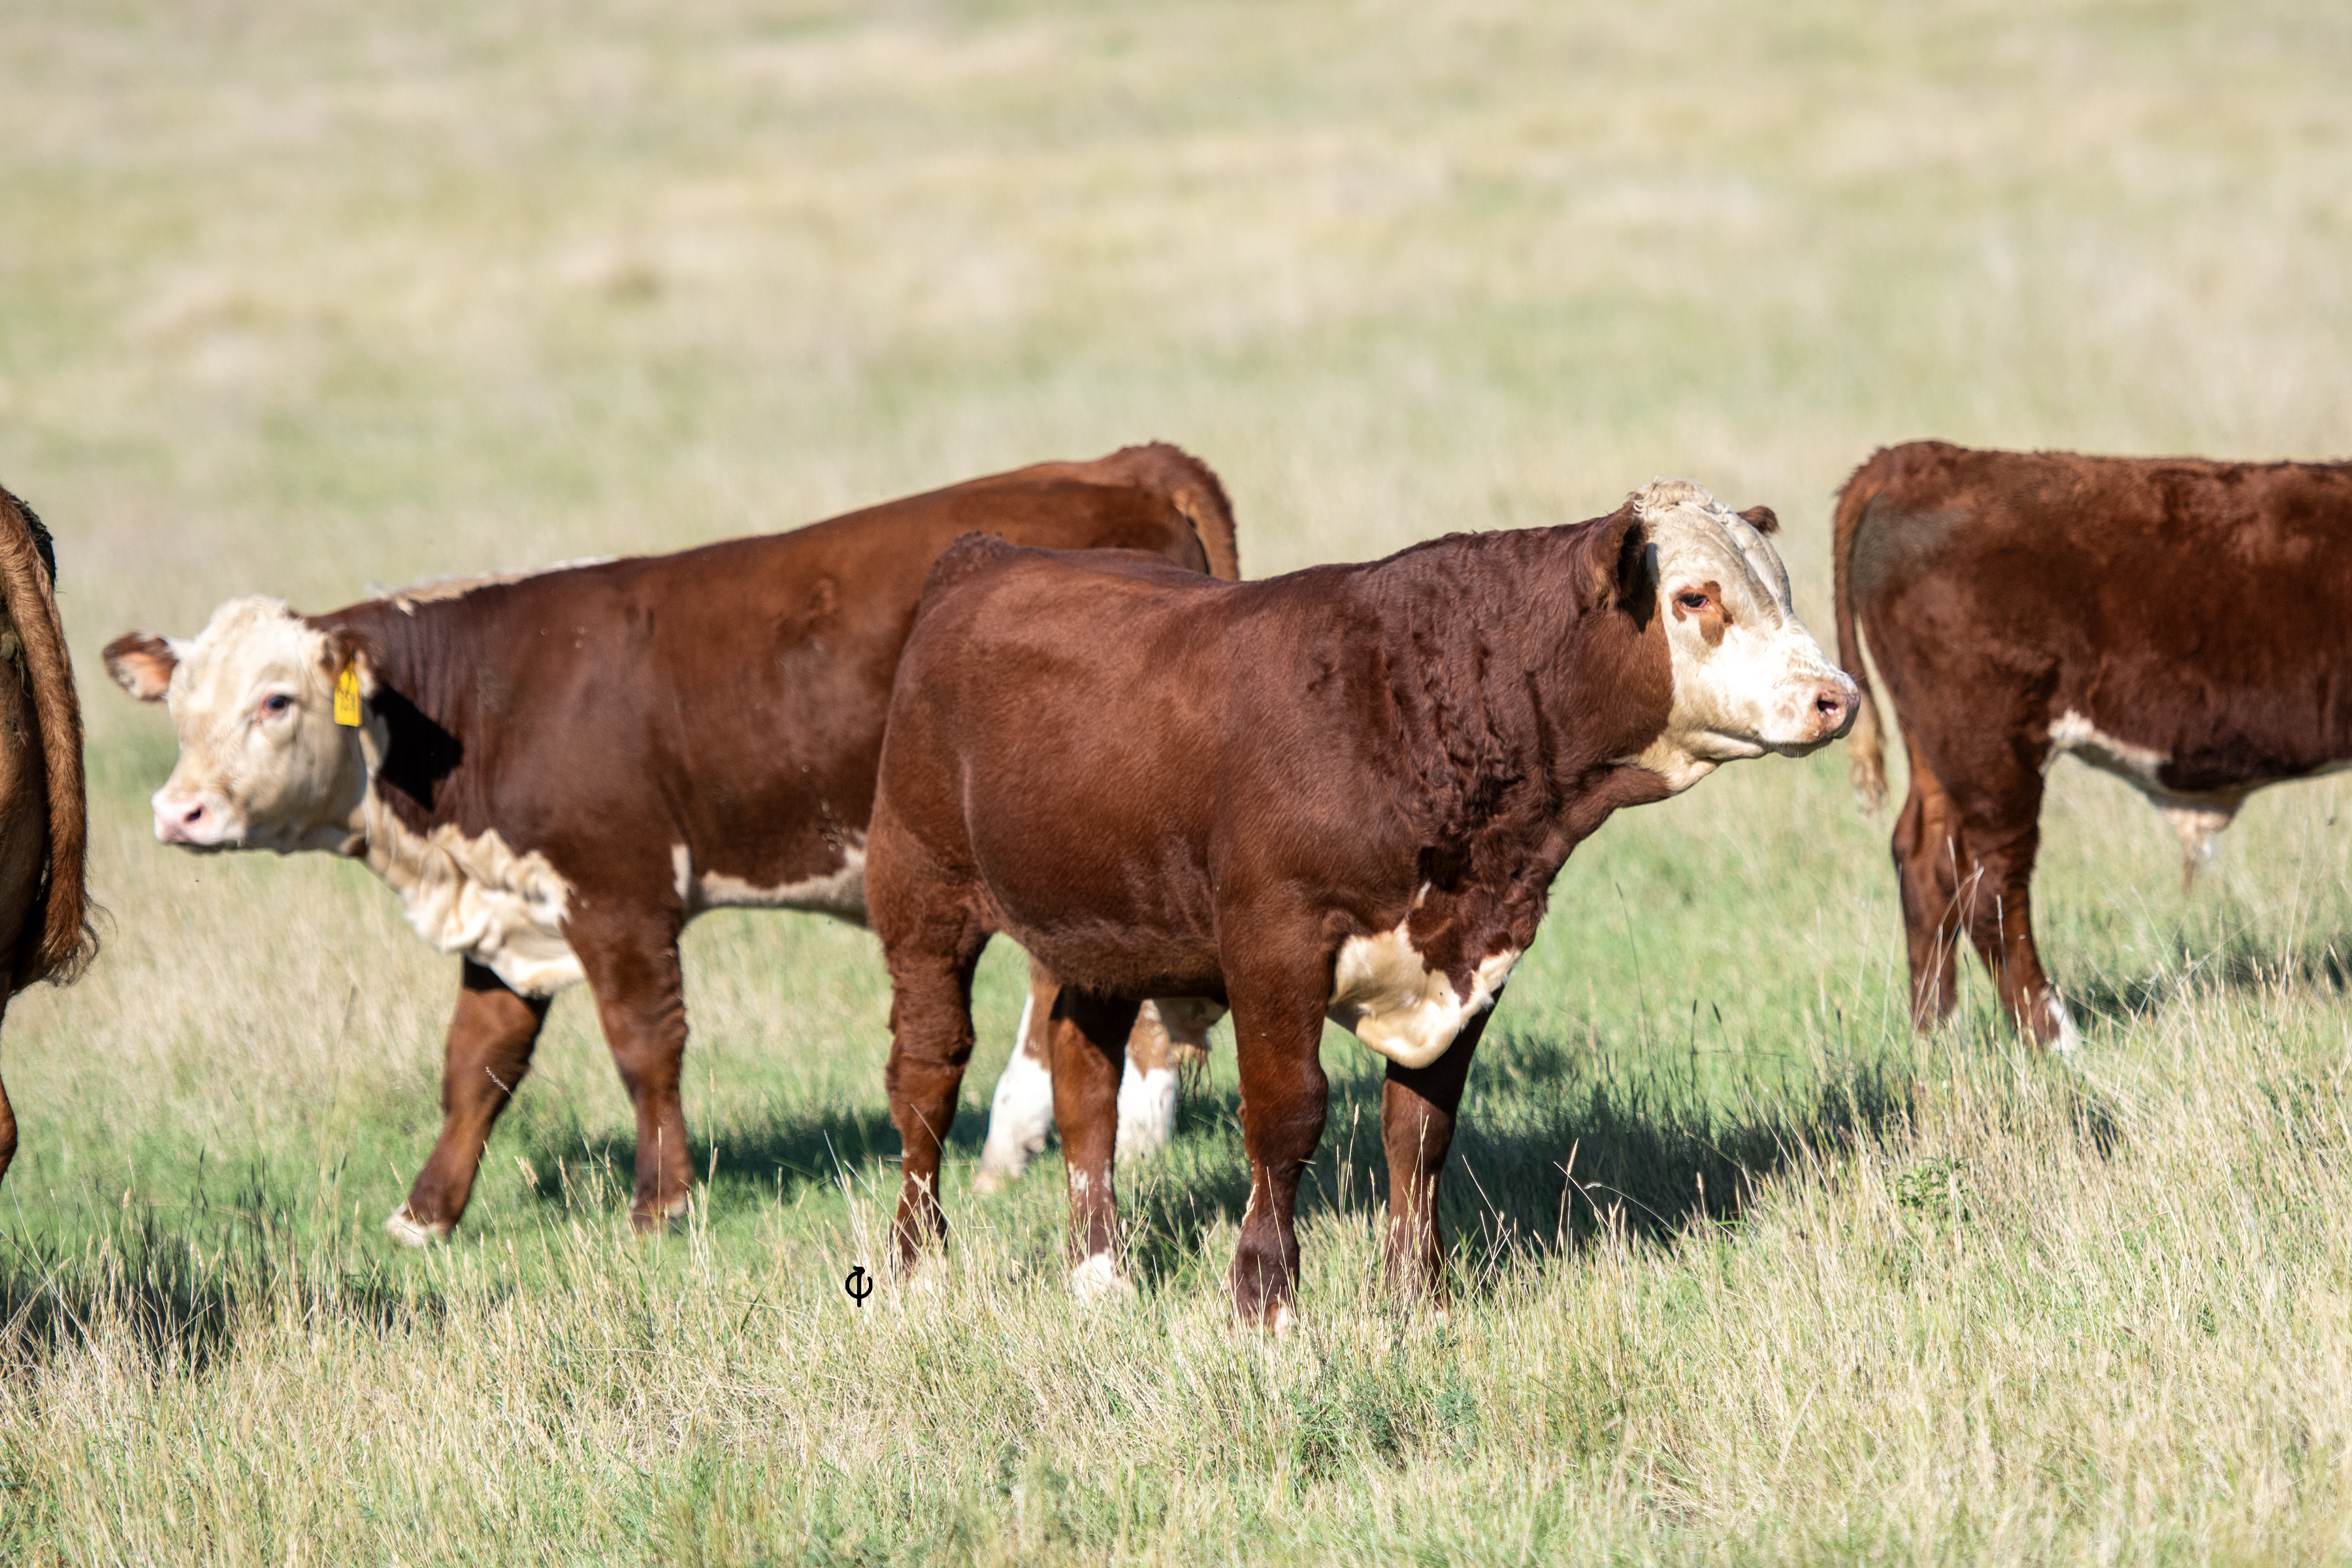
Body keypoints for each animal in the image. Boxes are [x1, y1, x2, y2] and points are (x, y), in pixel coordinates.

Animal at [101, 445, 1239, 1240]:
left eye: (277, 700)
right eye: (181, 710)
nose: (179, 812)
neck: (482, 701)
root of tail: (1124, 462)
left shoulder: (619, 894)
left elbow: (645, 1049)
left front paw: (660, 1205)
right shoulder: (510, 912)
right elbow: (477, 1066)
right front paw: (424, 1215)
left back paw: (1084, 1136)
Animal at [868, 479, 1858, 1328]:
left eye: (1782, 587)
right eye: (1694, 597)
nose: (1836, 697)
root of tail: (987, 555)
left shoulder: (1472, 960)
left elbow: (1419, 1132)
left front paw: (1421, 1298)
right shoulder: (1275, 947)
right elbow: (1287, 1117)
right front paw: (1267, 1300)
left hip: (1104, 929)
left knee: (1085, 1084)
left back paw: (1098, 1276)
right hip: (923, 897)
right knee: (928, 1077)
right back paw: (918, 1268)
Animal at [1833, 440, 2352, 1050]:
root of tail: (1918, 458)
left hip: (1939, 750)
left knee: (1925, 861)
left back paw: (1937, 1037)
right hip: (1990, 747)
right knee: (1991, 886)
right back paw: (2055, 1039)